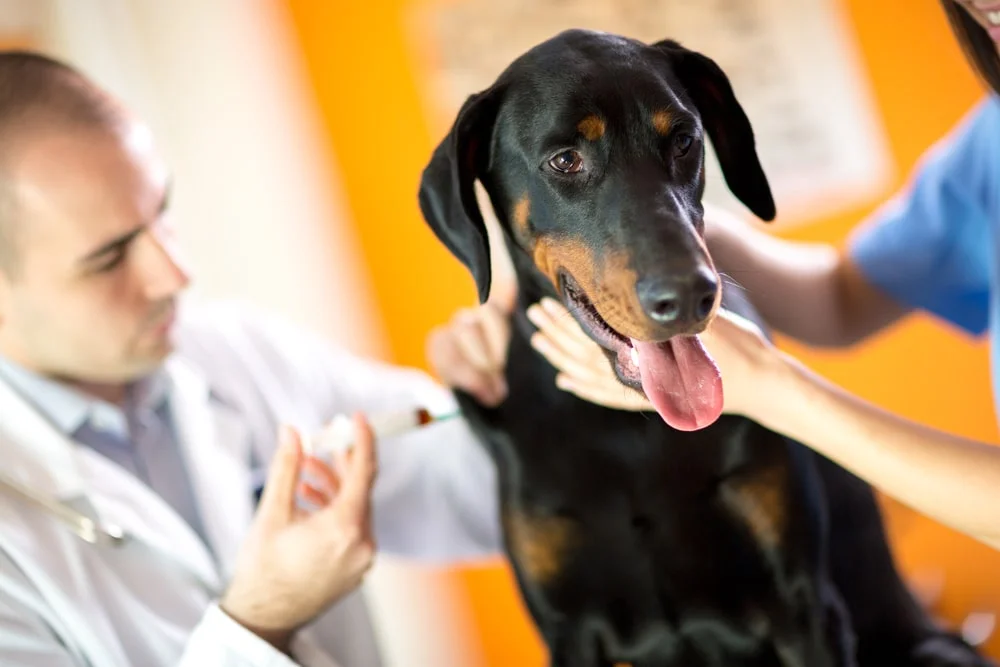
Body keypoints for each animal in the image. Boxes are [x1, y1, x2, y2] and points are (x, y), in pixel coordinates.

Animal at [416, 28, 992, 664]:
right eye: (565, 159)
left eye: (684, 140)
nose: (691, 294)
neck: (632, 428)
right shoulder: (568, 634)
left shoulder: (805, 608)